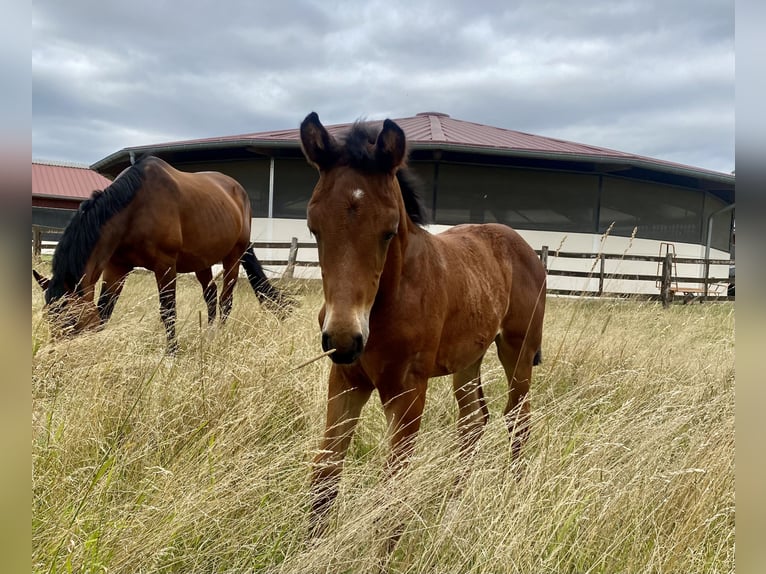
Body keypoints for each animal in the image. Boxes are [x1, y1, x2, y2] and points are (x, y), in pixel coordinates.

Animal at [32, 155, 292, 354]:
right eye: (48, 318)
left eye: (72, 320)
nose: (58, 356)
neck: (133, 209)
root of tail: (239, 193)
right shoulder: (115, 268)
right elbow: (105, 310)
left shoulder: (165, 266)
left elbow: (168, 312)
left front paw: (172, 354)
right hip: (202, 262)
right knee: (210, 296)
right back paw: (207, 334)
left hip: (233, 257)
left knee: (226, 301)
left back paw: (218, 336)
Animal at [300, 113, 544, 540]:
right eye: (315, 227)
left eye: (389, 230)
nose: (345, 339)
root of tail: (523, 246)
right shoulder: (345, 380)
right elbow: (325, 477)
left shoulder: (408, 392)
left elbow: (391, 497)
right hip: (469, 357)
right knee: (473, 421)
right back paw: (452, 508)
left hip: (518, 351)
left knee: (517, 418)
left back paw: (510, 496)